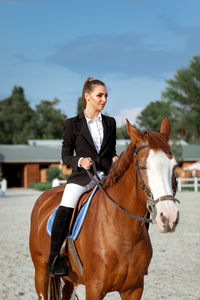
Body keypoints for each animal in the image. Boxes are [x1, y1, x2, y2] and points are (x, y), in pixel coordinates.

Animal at [29, 118, 180, 300]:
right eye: (143, 166)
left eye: (174, 165)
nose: (169, 218)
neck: (123, 234)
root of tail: (45, 196)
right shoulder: (94, 288)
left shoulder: (134, 289)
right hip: (41, 270)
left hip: (72, 279)